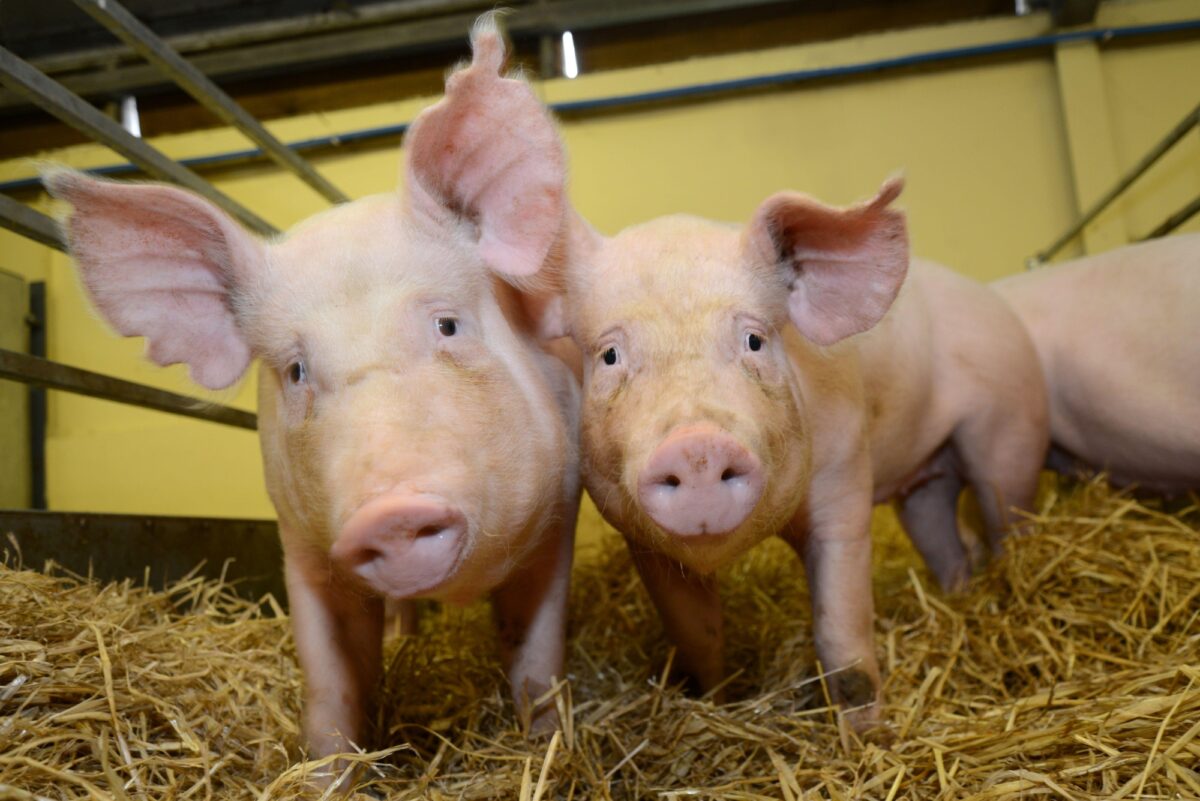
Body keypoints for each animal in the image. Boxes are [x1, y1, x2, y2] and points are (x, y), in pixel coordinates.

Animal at [44, 19, 580, 761]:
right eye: (295, 370)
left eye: (447, 324)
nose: (388, 512)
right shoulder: (299, 546)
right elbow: (331, 684)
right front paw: (327, 769)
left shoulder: (560, 508)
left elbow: (536, 659)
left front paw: (548, 749)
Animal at [553, 180, 1049, 728]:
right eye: (609, 356)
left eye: (754, 340)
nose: (696, 447)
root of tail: (997, 303)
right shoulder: (641, 541)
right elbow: (698, 634)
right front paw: (716, 700)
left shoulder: (846, 472)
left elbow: (841, 637)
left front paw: (865, 735)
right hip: (926, 484)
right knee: (944, 539)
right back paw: (958, 592)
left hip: (1010, 429)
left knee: (1007, 515)